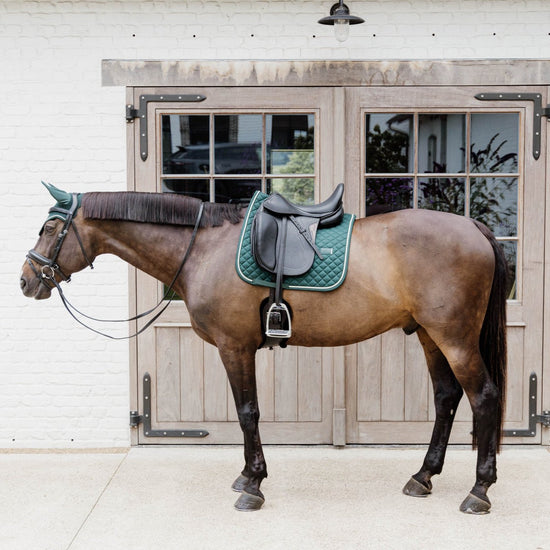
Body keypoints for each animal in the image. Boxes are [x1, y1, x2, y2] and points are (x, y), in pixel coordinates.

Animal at [19, 185, 512, 516]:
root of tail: (472, 225)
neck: (205, 248)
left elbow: (248, 412)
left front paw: (252, 485)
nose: (25, 280)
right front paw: (246, 476)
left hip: (454, 337)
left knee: (484, 397)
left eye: (50, 228)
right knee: (447, 399)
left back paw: (479, 491)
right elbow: (247, 414)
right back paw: (423, 476)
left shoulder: (235, 347)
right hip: (430, 335)